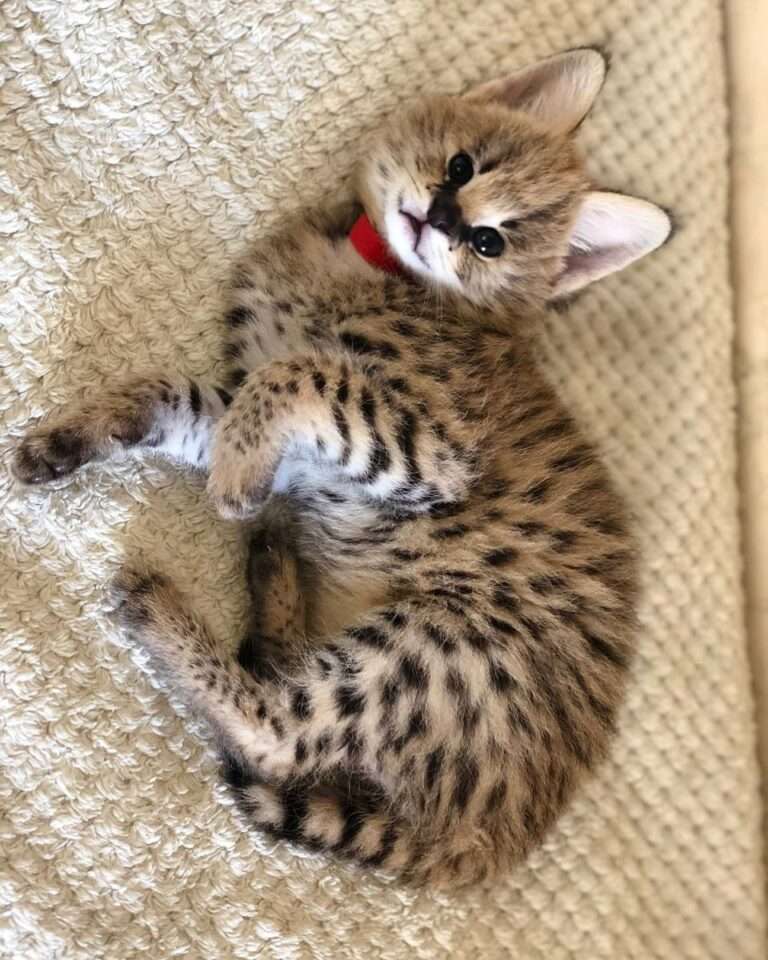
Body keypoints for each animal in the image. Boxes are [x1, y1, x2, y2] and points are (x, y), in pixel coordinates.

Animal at [13, 50, 672, 884]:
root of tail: (485, 842)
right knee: (283, 680)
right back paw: (276, 578)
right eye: (462, 166)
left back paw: (163, 612)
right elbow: (179, 393)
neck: (372, 265)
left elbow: (301, 374)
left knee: (282, 736)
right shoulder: (280, 437)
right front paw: (72, 436)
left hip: (438, 649)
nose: (443, 218)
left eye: (490, 244)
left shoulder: (429, 447)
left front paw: (234, 479)